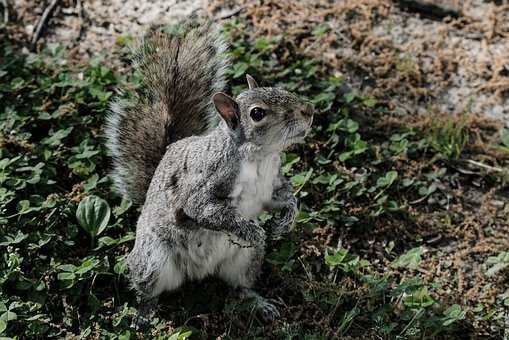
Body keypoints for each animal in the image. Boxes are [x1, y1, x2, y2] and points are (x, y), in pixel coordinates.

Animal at [106, 18, 314, 326]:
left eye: (276, 88)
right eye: (257, 113)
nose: (308, 109)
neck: (260, 158)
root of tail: (197, 273)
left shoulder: (270, 185)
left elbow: (284, 198)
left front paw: (286, 220)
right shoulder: (207, 181)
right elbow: (204, 209)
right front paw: (252, 230)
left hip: (246, 261)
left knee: (240, 287)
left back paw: (259, 303)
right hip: (152, 260)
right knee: (147, 291)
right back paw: (144, 314)